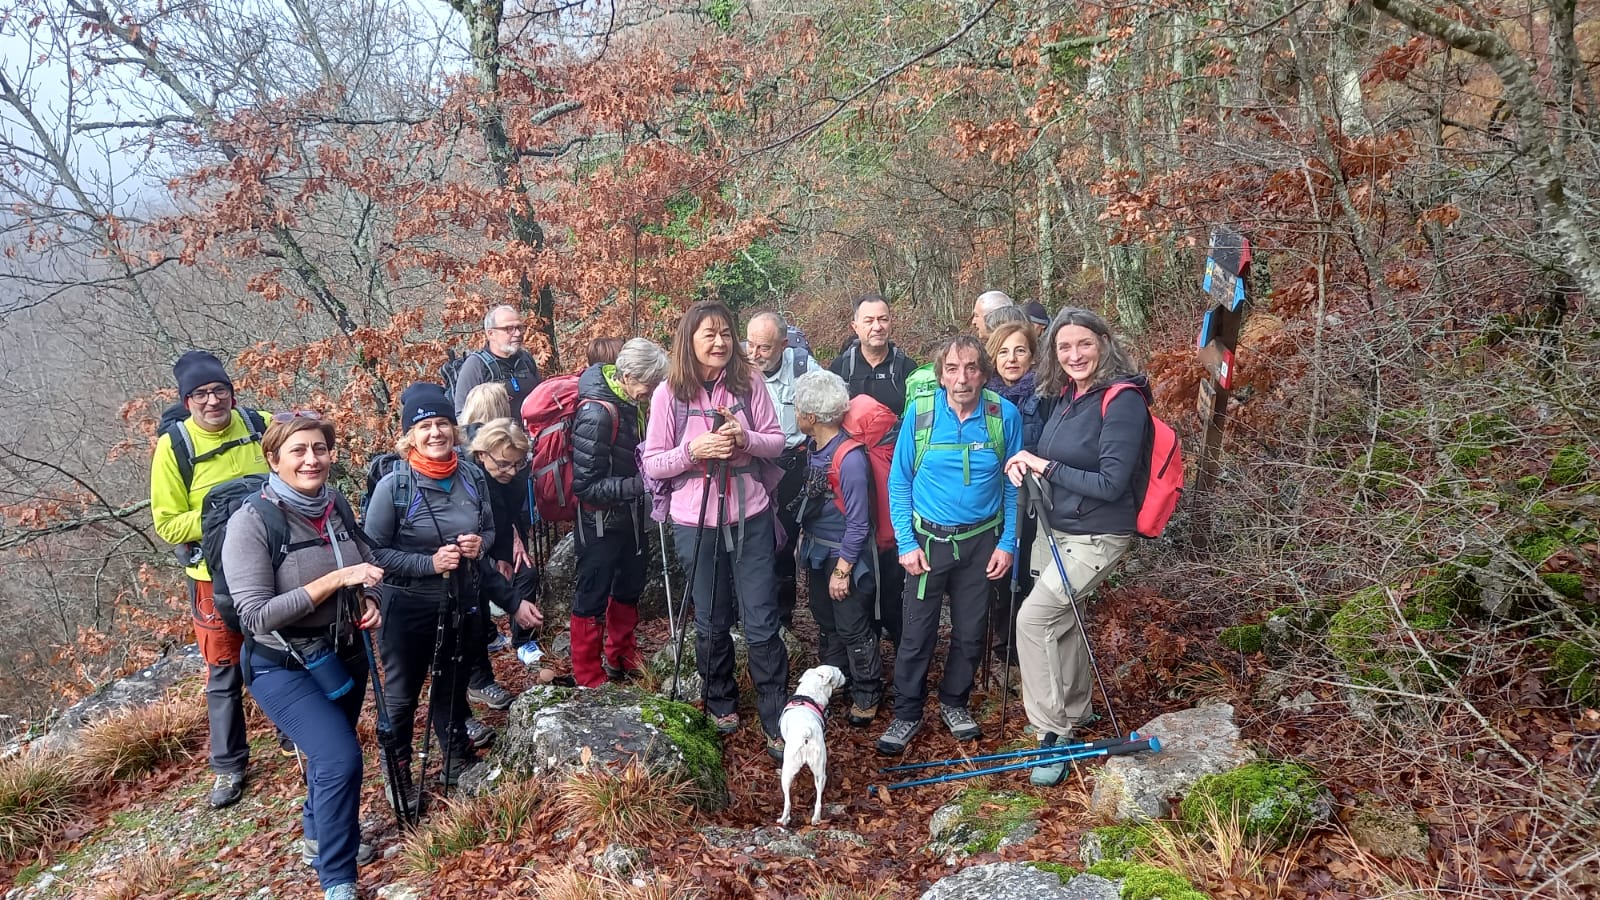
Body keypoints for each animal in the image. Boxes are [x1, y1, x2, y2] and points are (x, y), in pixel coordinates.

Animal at [777, 662, 851, 826]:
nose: (847, 676)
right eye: (839, 673)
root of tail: (806, 732)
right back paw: (814, 818)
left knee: (788, 800)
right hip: (819, 772)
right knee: (816, 800)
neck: (811, 691)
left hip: (789, 770)